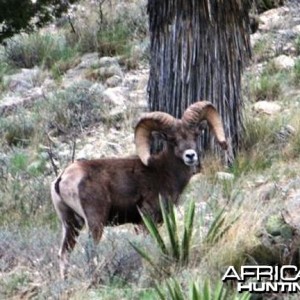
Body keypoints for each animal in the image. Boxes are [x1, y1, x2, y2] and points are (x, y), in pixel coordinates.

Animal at [50, 101, 227, 278]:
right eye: (172, 139)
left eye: (195, 134)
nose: (190, 156)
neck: (163, 172)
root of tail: (62, 178)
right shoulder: (146, 220)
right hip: (95, 222)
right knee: (90, 251)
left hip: (71, 224)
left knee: (64, 254)